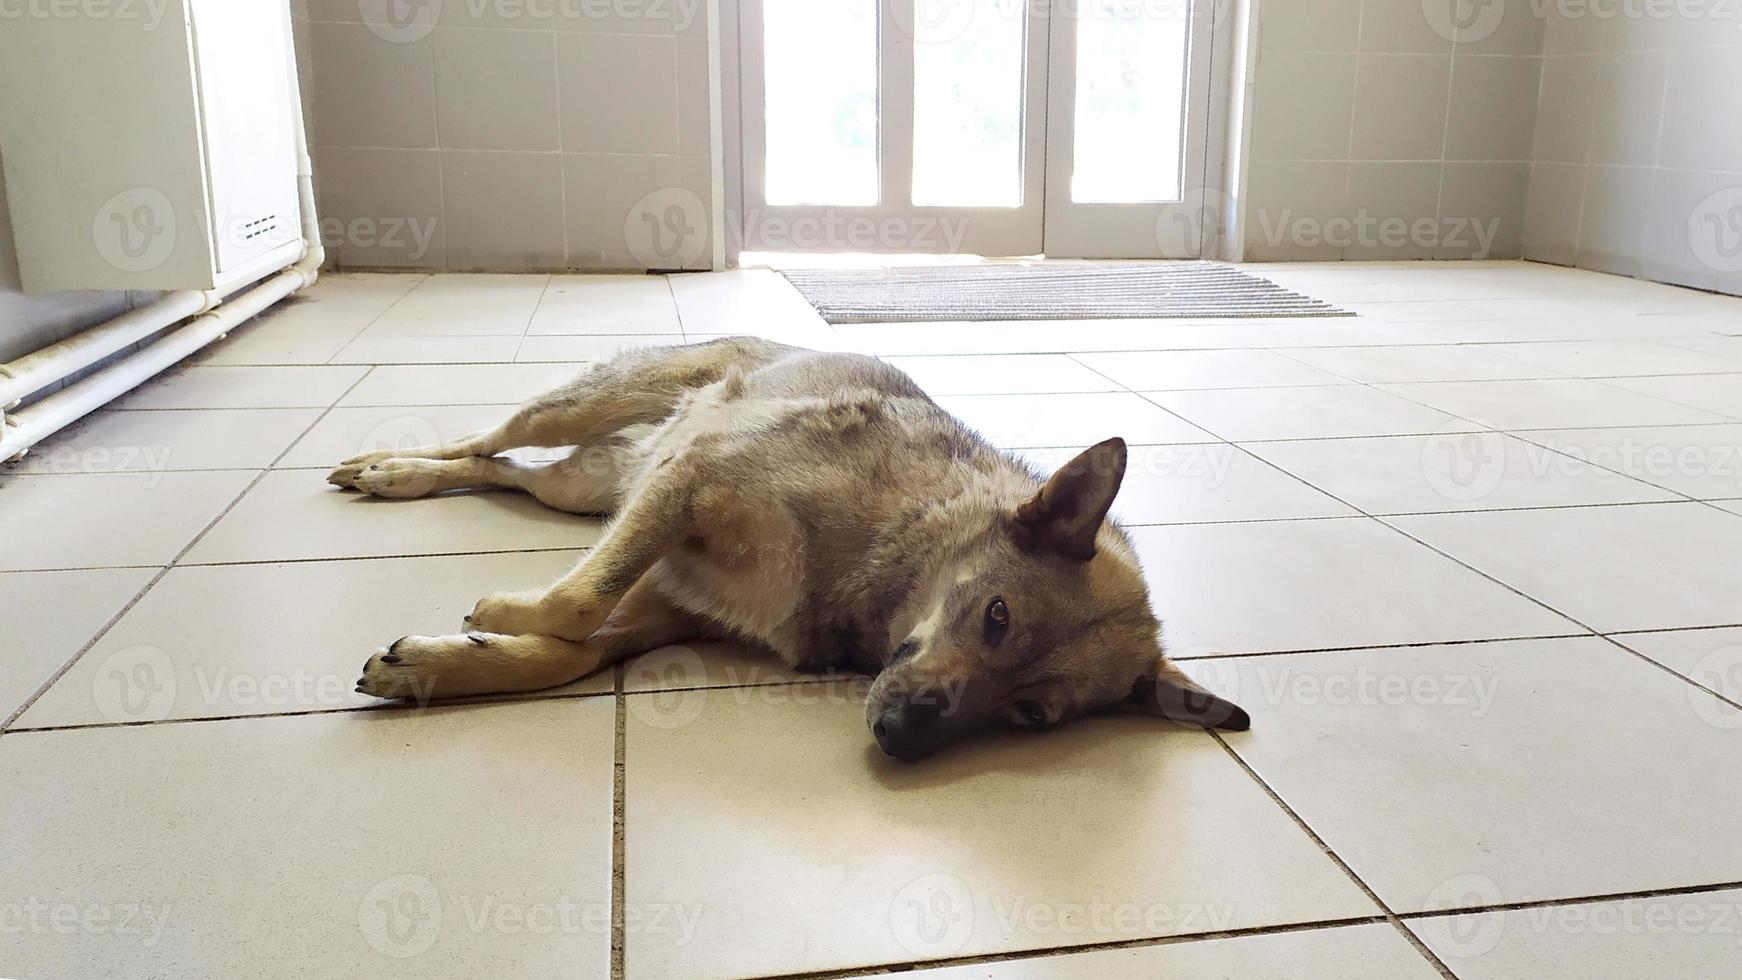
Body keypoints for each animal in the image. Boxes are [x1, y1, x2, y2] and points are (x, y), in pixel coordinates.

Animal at [329, 337, 1254, 758]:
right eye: (996, 617)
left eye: (1032, 716)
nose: (902, 736)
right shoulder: (691, 482)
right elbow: (576, 601)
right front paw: (498, 613)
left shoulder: (666, 604)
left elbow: (573, 650)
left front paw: (444, 664)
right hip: (591, 412)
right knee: (484, 442)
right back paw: (390, 469)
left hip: (587, 489)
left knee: (507, 474)